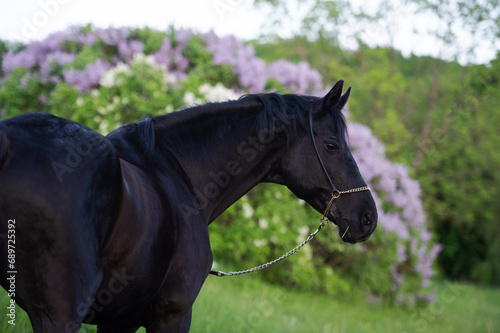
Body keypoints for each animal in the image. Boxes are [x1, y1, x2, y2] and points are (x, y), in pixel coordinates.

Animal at [0, 80, 376, 330]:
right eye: (331, 145)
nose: (368, 217)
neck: (177, 173)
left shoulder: (118, 320)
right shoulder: (173, 313)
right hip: (60, 314)